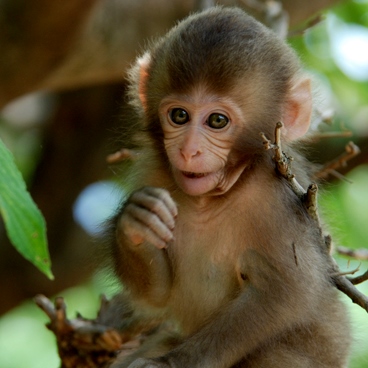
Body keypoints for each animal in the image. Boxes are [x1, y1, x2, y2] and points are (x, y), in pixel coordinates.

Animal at [108, 6, 350, 368]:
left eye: (217, 121)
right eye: (179, 116)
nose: (189, 150)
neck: (213, 199)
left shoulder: (277, 202)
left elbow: (287, 292)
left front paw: (170, 363)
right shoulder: (154, 173)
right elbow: (159, 293)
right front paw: (136, 220)